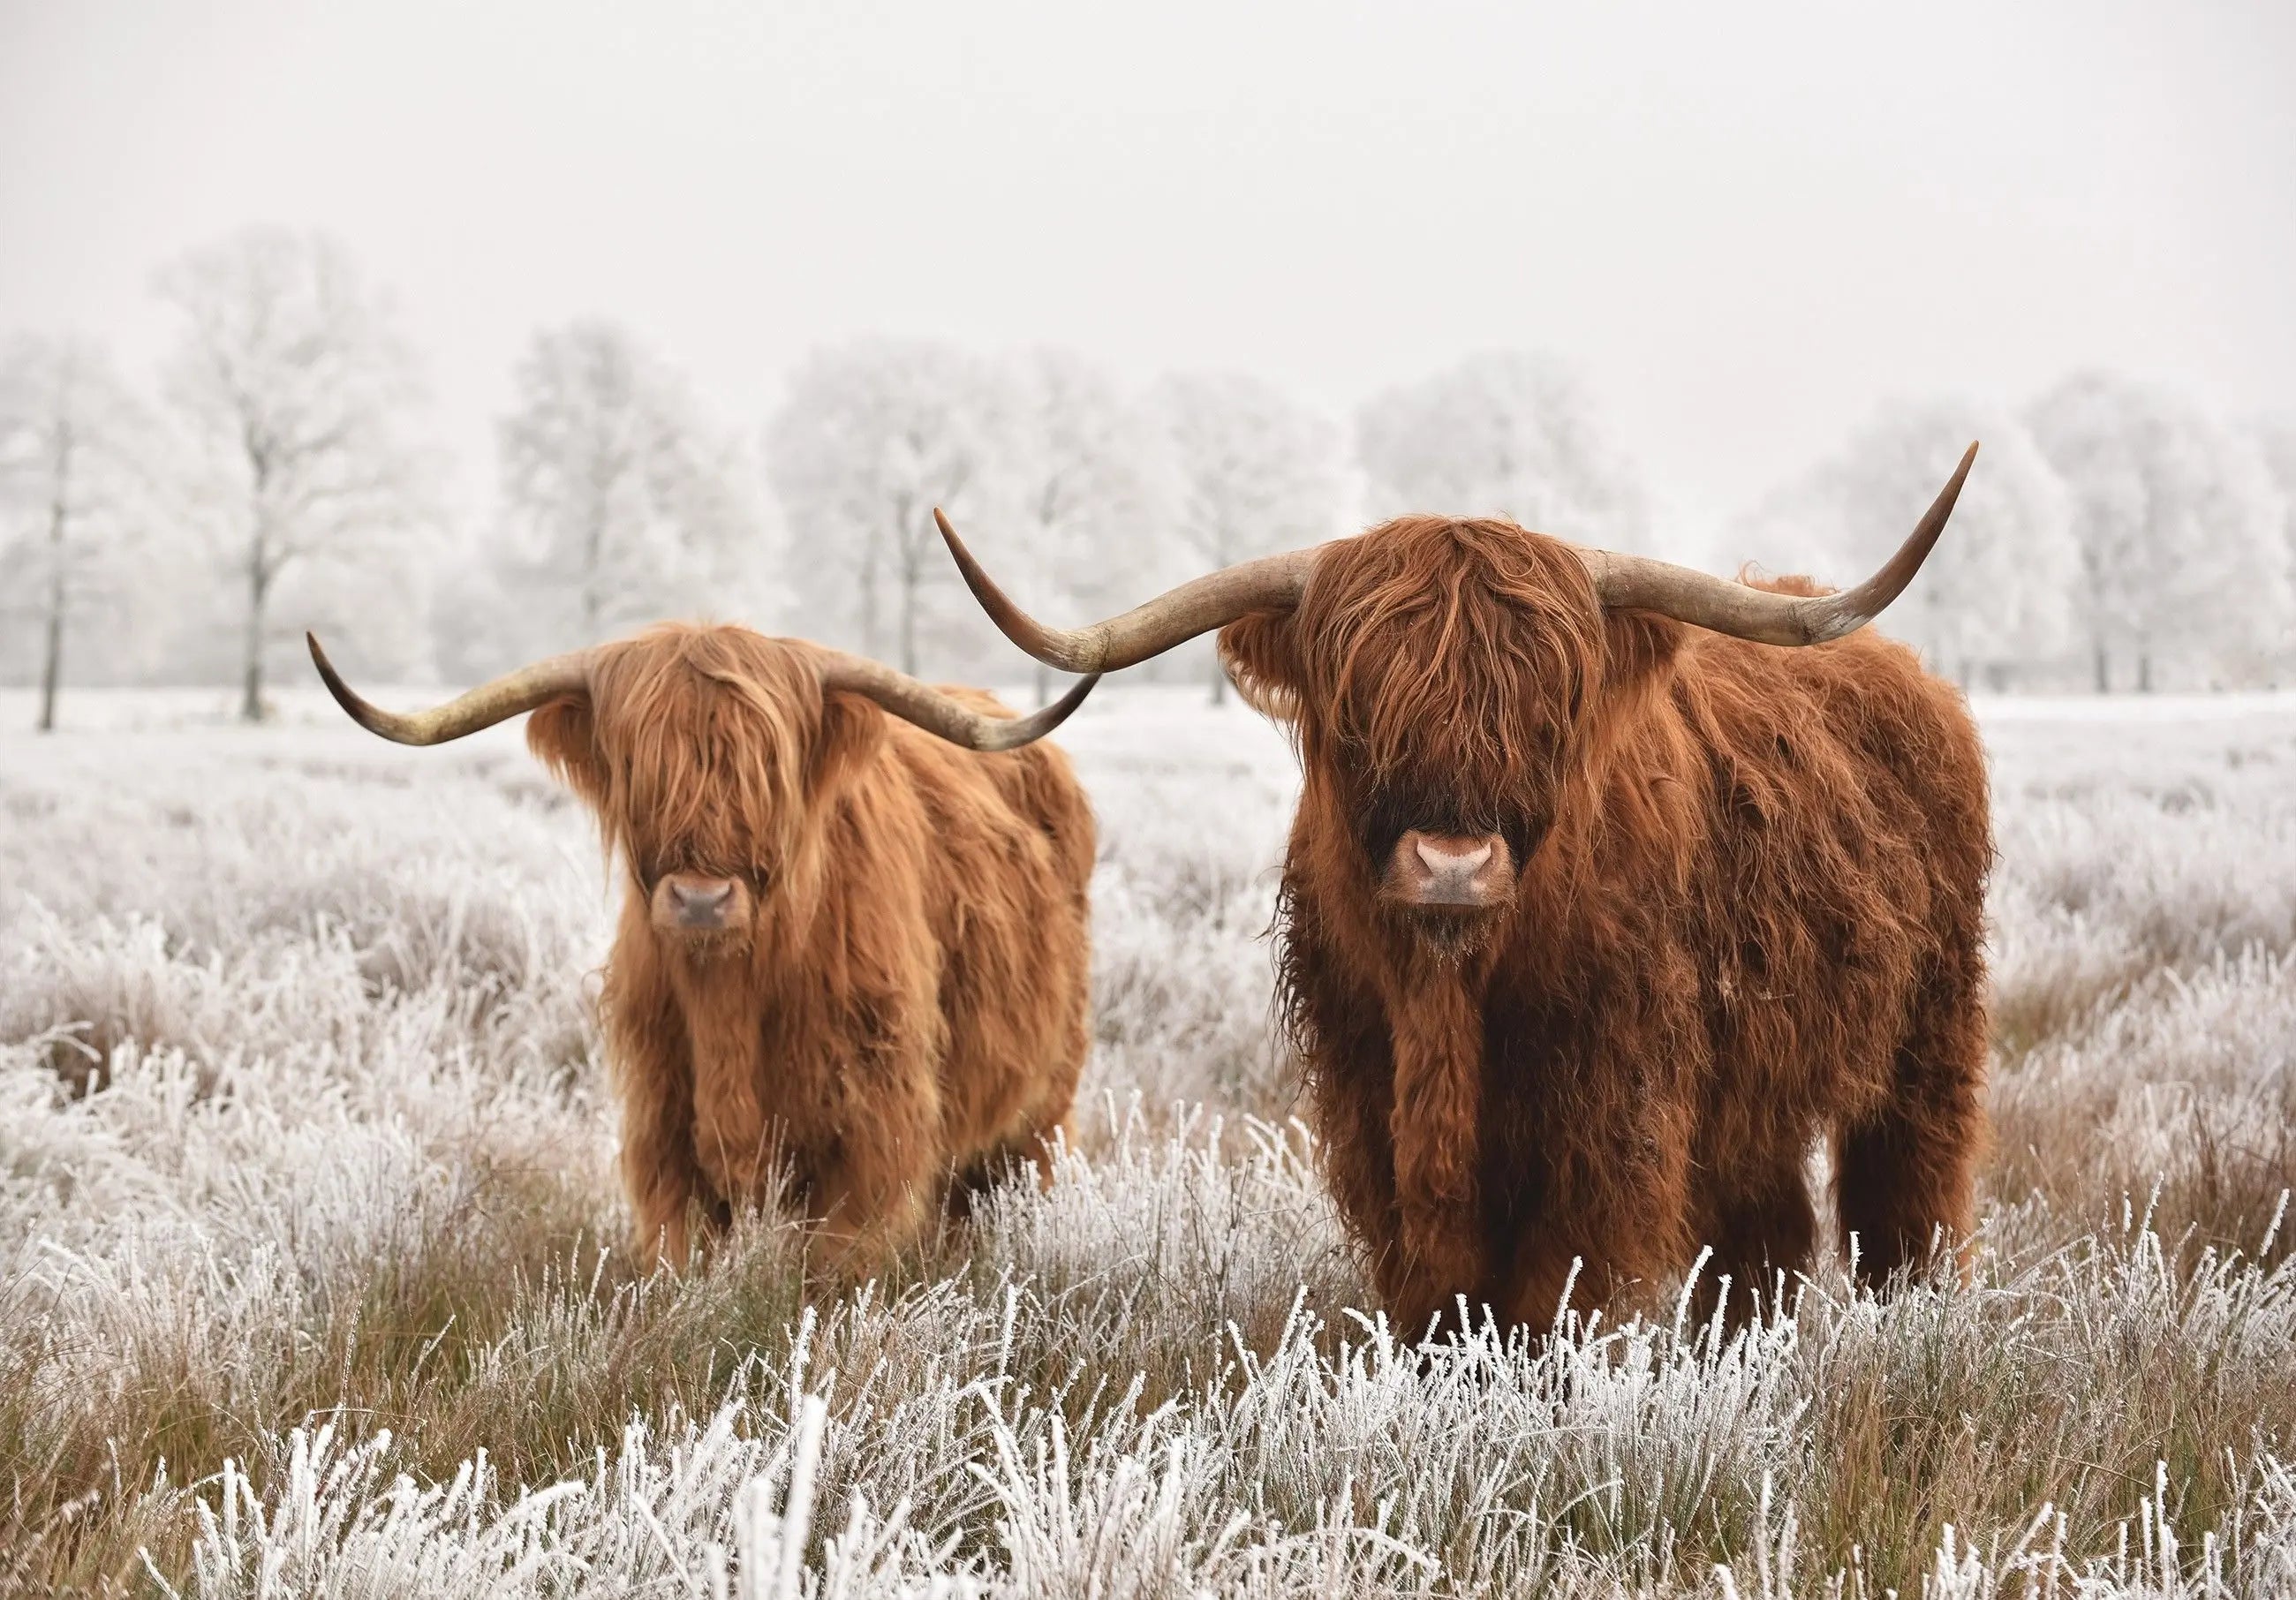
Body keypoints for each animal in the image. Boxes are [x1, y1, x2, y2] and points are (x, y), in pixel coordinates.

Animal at [314, 624, 1102, 1276]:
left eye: (767, 770)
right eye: (638, 765)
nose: (700, 900)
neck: (732, 995)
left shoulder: (873, 1136)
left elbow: (837, 1273)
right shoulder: (663, 1131)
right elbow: (682, 1261)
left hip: (1041, 1107)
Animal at [932, 442, 1992, 1331]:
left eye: (1549, 710)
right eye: (1356, 709)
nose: (1451, 865)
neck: (1448, 997)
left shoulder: (1610, 1118)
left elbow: (1551, 1295)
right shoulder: (1372, 1107)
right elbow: (1436, 1295)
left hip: (1929, 1032)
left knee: (1908, 1195)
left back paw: (1912, 1327)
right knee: (1764, 1233)